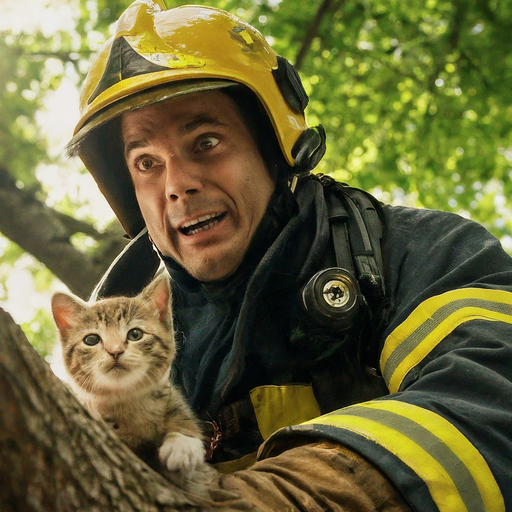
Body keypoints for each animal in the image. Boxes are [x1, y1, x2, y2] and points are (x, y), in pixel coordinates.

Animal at [51, 274, 205, 474]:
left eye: (135, 334)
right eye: (91, 339)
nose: (115, 351)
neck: (123, 399)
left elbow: (176, 405)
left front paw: (183, 442)